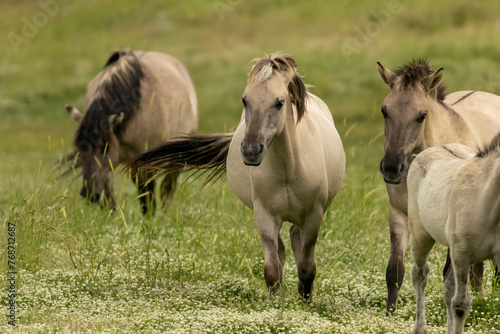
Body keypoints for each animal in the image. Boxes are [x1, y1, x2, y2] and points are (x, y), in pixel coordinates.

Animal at [66, 49, 197, 214]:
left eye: (105, 148)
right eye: (80, 149)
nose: (89, 194)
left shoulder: (146, 162)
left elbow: (148, 195)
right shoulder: (113, 165)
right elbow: (110, 195)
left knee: (167, 187)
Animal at [125, 53, 346, 298]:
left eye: (279, 102)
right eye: (244, 100)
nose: (251, 150)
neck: (289, 169)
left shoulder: (314, 216)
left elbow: (307, 268)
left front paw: (304, 300)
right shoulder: (264, 216)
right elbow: (272, 270)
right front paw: (276, 302)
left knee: (296, 241)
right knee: (283, 248)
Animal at [376, 59, 500, 314]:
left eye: (421, 115)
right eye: (385, 110)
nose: (392, 168)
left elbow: (449, 275)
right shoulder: (399, 215)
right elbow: (395, 270)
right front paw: (390, 313)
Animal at [408, 136, 500, 334]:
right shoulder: (462, 254)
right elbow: (460, 305)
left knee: (449, 284)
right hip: (420, 237)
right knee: (420, 275)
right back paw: (420, 328)